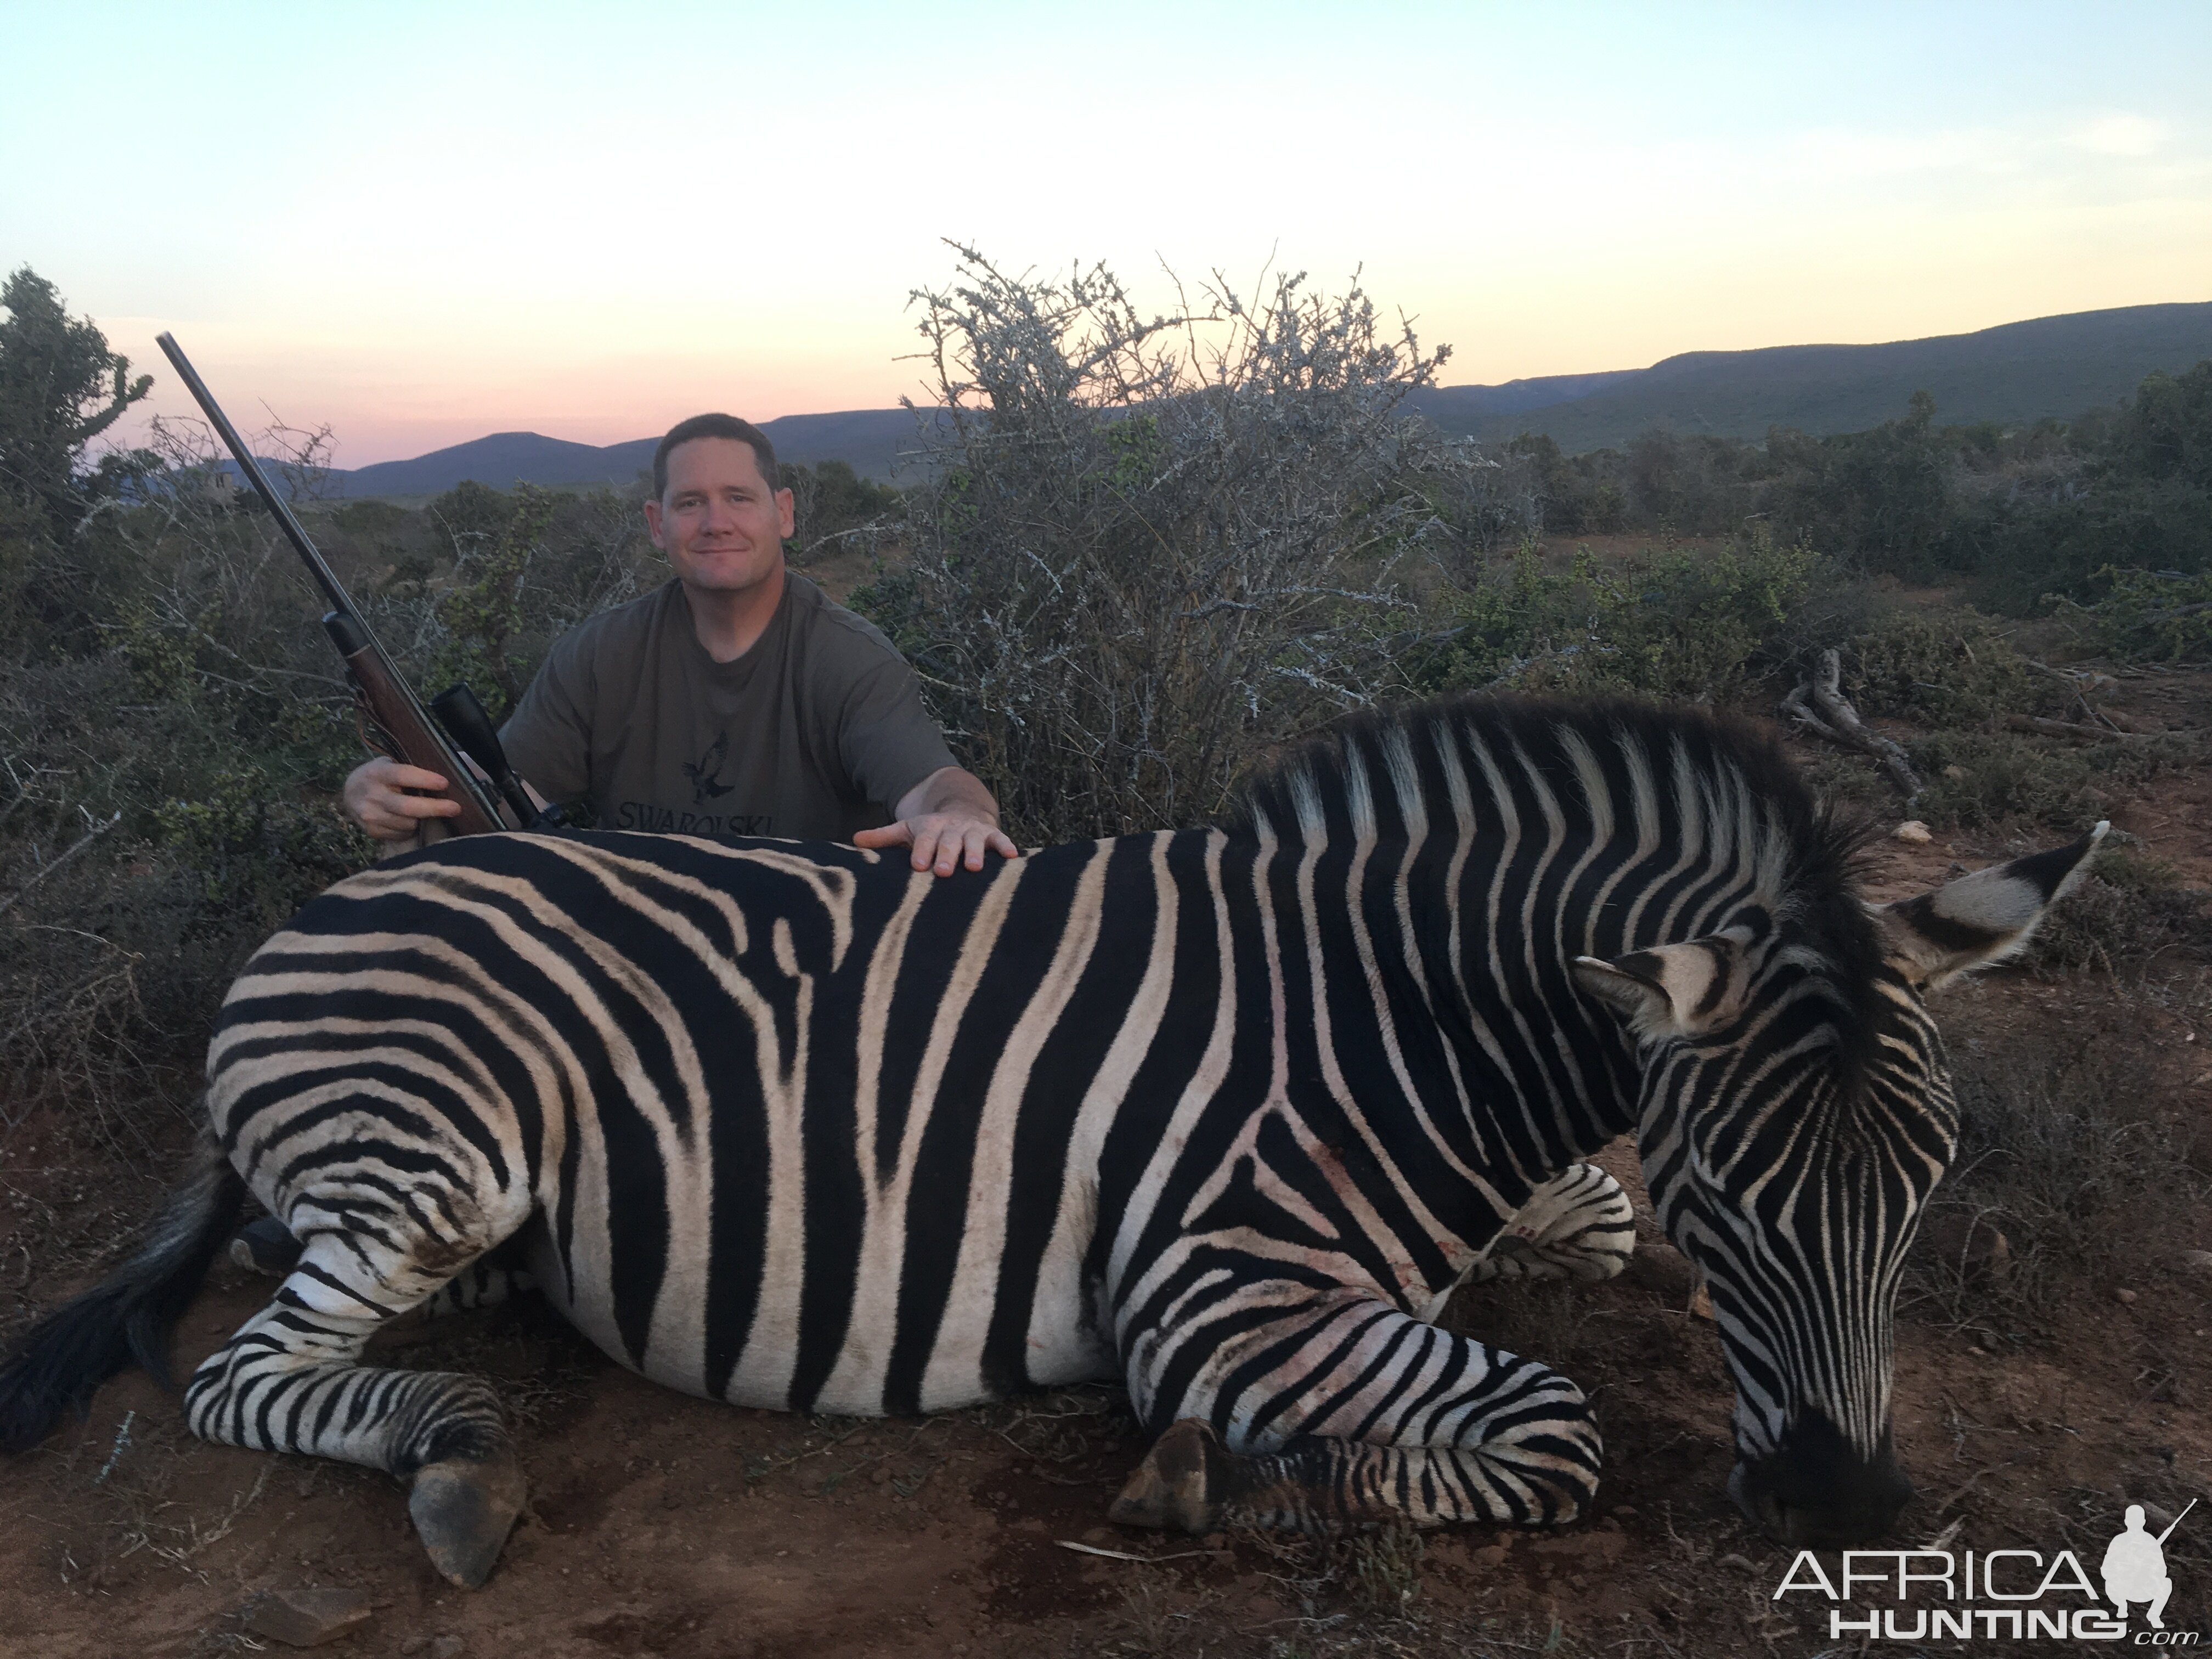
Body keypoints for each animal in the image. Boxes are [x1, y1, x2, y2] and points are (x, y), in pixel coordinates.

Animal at [0, 699, 2097, 1583]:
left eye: (1926, 1189)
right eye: (1728, 1204)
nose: (1846, 1512)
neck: (1400, 1015)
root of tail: (328, 905)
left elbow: (1576, 1230)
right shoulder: (1220, 1294)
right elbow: (1555, 1432)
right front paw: (1232, 1495)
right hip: (451, 1146)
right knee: (246, 1371)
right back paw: (455, 1455)